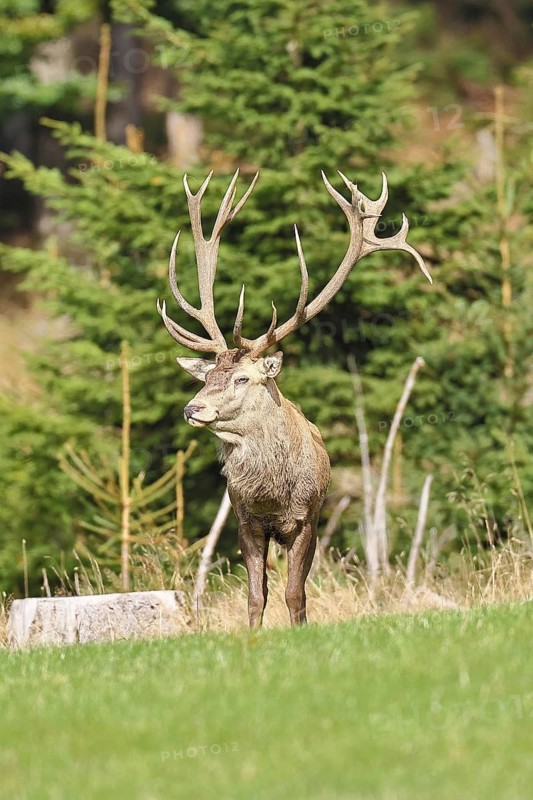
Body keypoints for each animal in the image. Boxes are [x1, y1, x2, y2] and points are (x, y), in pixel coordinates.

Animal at [157, 169, 431, 627]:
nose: (192, 407)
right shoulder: (246, 521)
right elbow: (256, 596)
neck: (273, 494)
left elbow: (295, 593)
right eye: (208, 375)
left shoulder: (308, 520)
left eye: (243, 378)